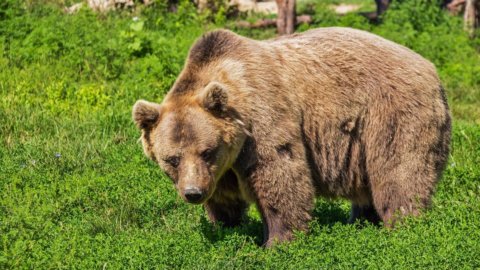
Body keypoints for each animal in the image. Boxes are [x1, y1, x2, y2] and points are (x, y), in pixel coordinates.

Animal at [131, 27, 450, 247]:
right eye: (172, 159)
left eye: (207, 151)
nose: (193, 193)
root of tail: (431, 68)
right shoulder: (222, 167)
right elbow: (224, 197)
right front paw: (226, 226)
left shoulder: (262, 120)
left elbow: (280, 175)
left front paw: (277, 241)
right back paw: (361, 221)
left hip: (391, 113)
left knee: (399, 172)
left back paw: (403, 225)